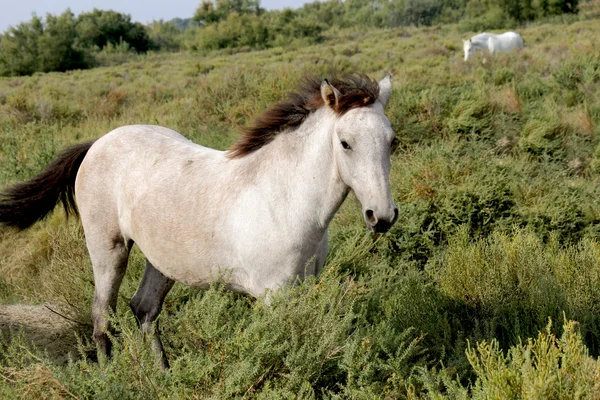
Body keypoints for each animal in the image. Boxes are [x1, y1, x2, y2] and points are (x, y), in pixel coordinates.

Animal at [0, 73, 398, 368]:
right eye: (345, 143)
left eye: (391, 142)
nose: (381, 216)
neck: (284, 197)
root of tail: (98, 143)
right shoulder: (274, 296)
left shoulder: (303, 287)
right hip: (108, 250)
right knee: (102, 317)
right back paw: (108, 378)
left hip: (161, 259)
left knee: (144, 310)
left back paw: (165, 377)